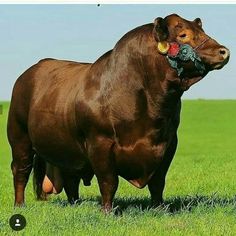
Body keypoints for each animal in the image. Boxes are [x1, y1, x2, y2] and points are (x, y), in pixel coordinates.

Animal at [6, 14, 229, 212]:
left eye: (202, 31)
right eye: (183, 34)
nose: (224, 51)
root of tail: (31, 71)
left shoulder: (168, 143)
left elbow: (158, 182)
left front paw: (159, 208)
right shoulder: (99, 143)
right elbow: (108, 182)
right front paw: (107, 211)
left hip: (67, 148)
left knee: (71, 177)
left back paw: (75, 204)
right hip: (19, 138)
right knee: (20, 171)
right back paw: (19, 205)